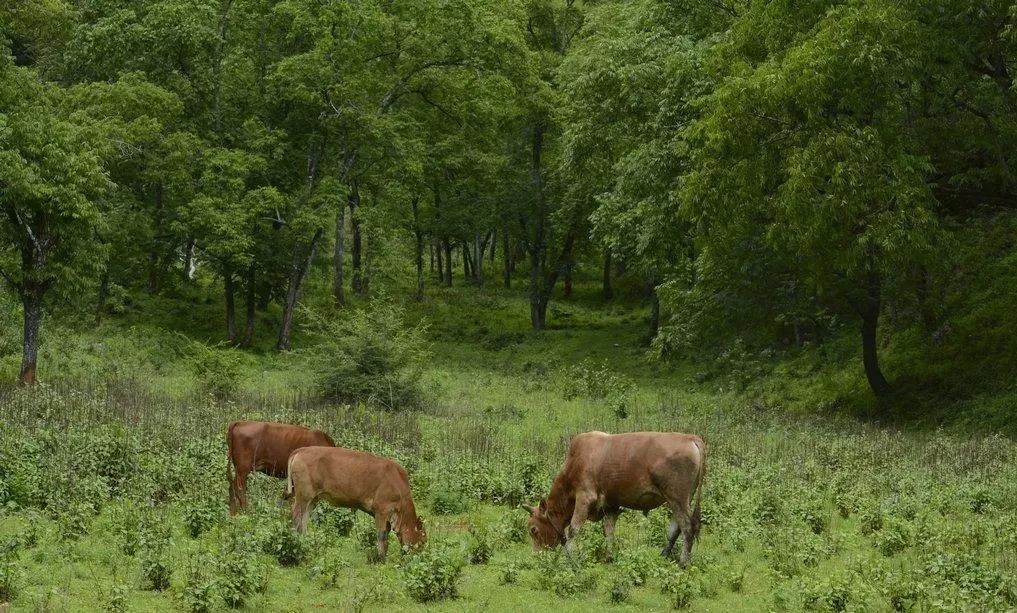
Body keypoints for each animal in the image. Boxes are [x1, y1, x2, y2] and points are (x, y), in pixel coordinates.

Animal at [286, 445, 425, 561]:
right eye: (423, 540)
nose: (421, 557)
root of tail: (302, 450)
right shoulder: (381, 510)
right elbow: (381, 535)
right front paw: (382, 559)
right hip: (303, 497)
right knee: (296, 518)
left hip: (312, 499)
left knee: (303, 521)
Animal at [528, 431, 703, 565]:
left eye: (533, 529)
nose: (536, 557)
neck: (575, 461)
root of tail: (691, 438)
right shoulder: (611, 505)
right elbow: (609, 531)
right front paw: (609, 557)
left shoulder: (585, 498)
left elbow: (573, 529)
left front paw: (568, 558)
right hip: (680, 500)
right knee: (675, 529)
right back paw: (664, 555)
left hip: (677, 499)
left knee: (687, 528)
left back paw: (683, 563)